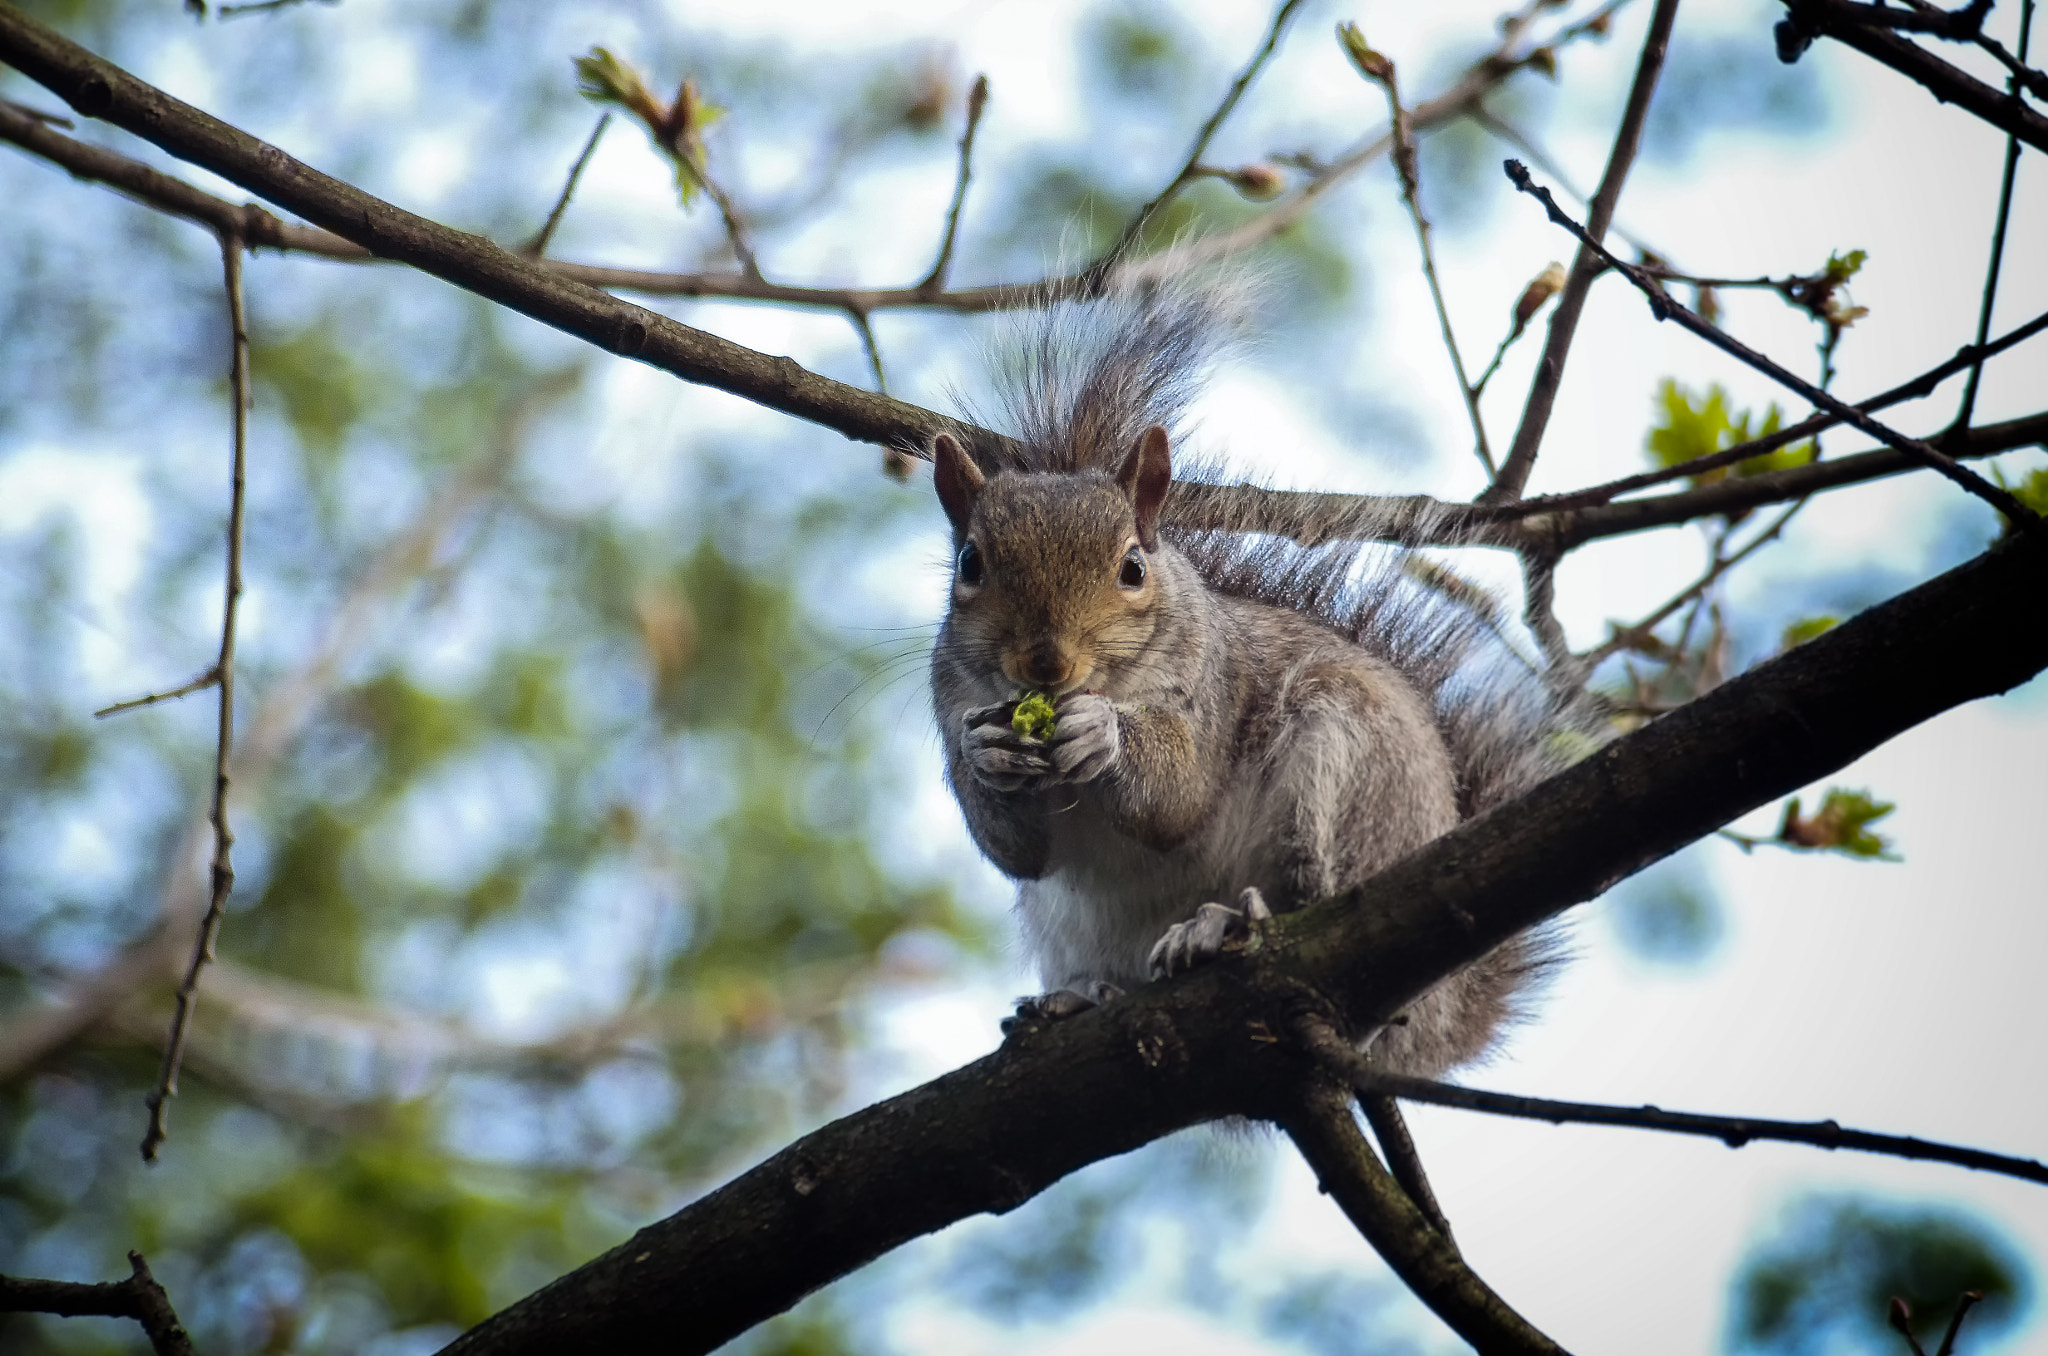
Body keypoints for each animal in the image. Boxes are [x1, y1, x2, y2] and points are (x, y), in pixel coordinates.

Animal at [929, 278, 1581, 1081]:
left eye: (1132, 568)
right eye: (970, 564)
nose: (1045, 665)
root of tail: (1441, 1015)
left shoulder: (1212, 686)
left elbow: (1178, 797)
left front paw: (1105, 733)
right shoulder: (952, 701)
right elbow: (1014, 849)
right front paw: (987, 754)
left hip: (1354, 769)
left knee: (1322, 912)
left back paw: (1222, 926)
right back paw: (1082, 997)